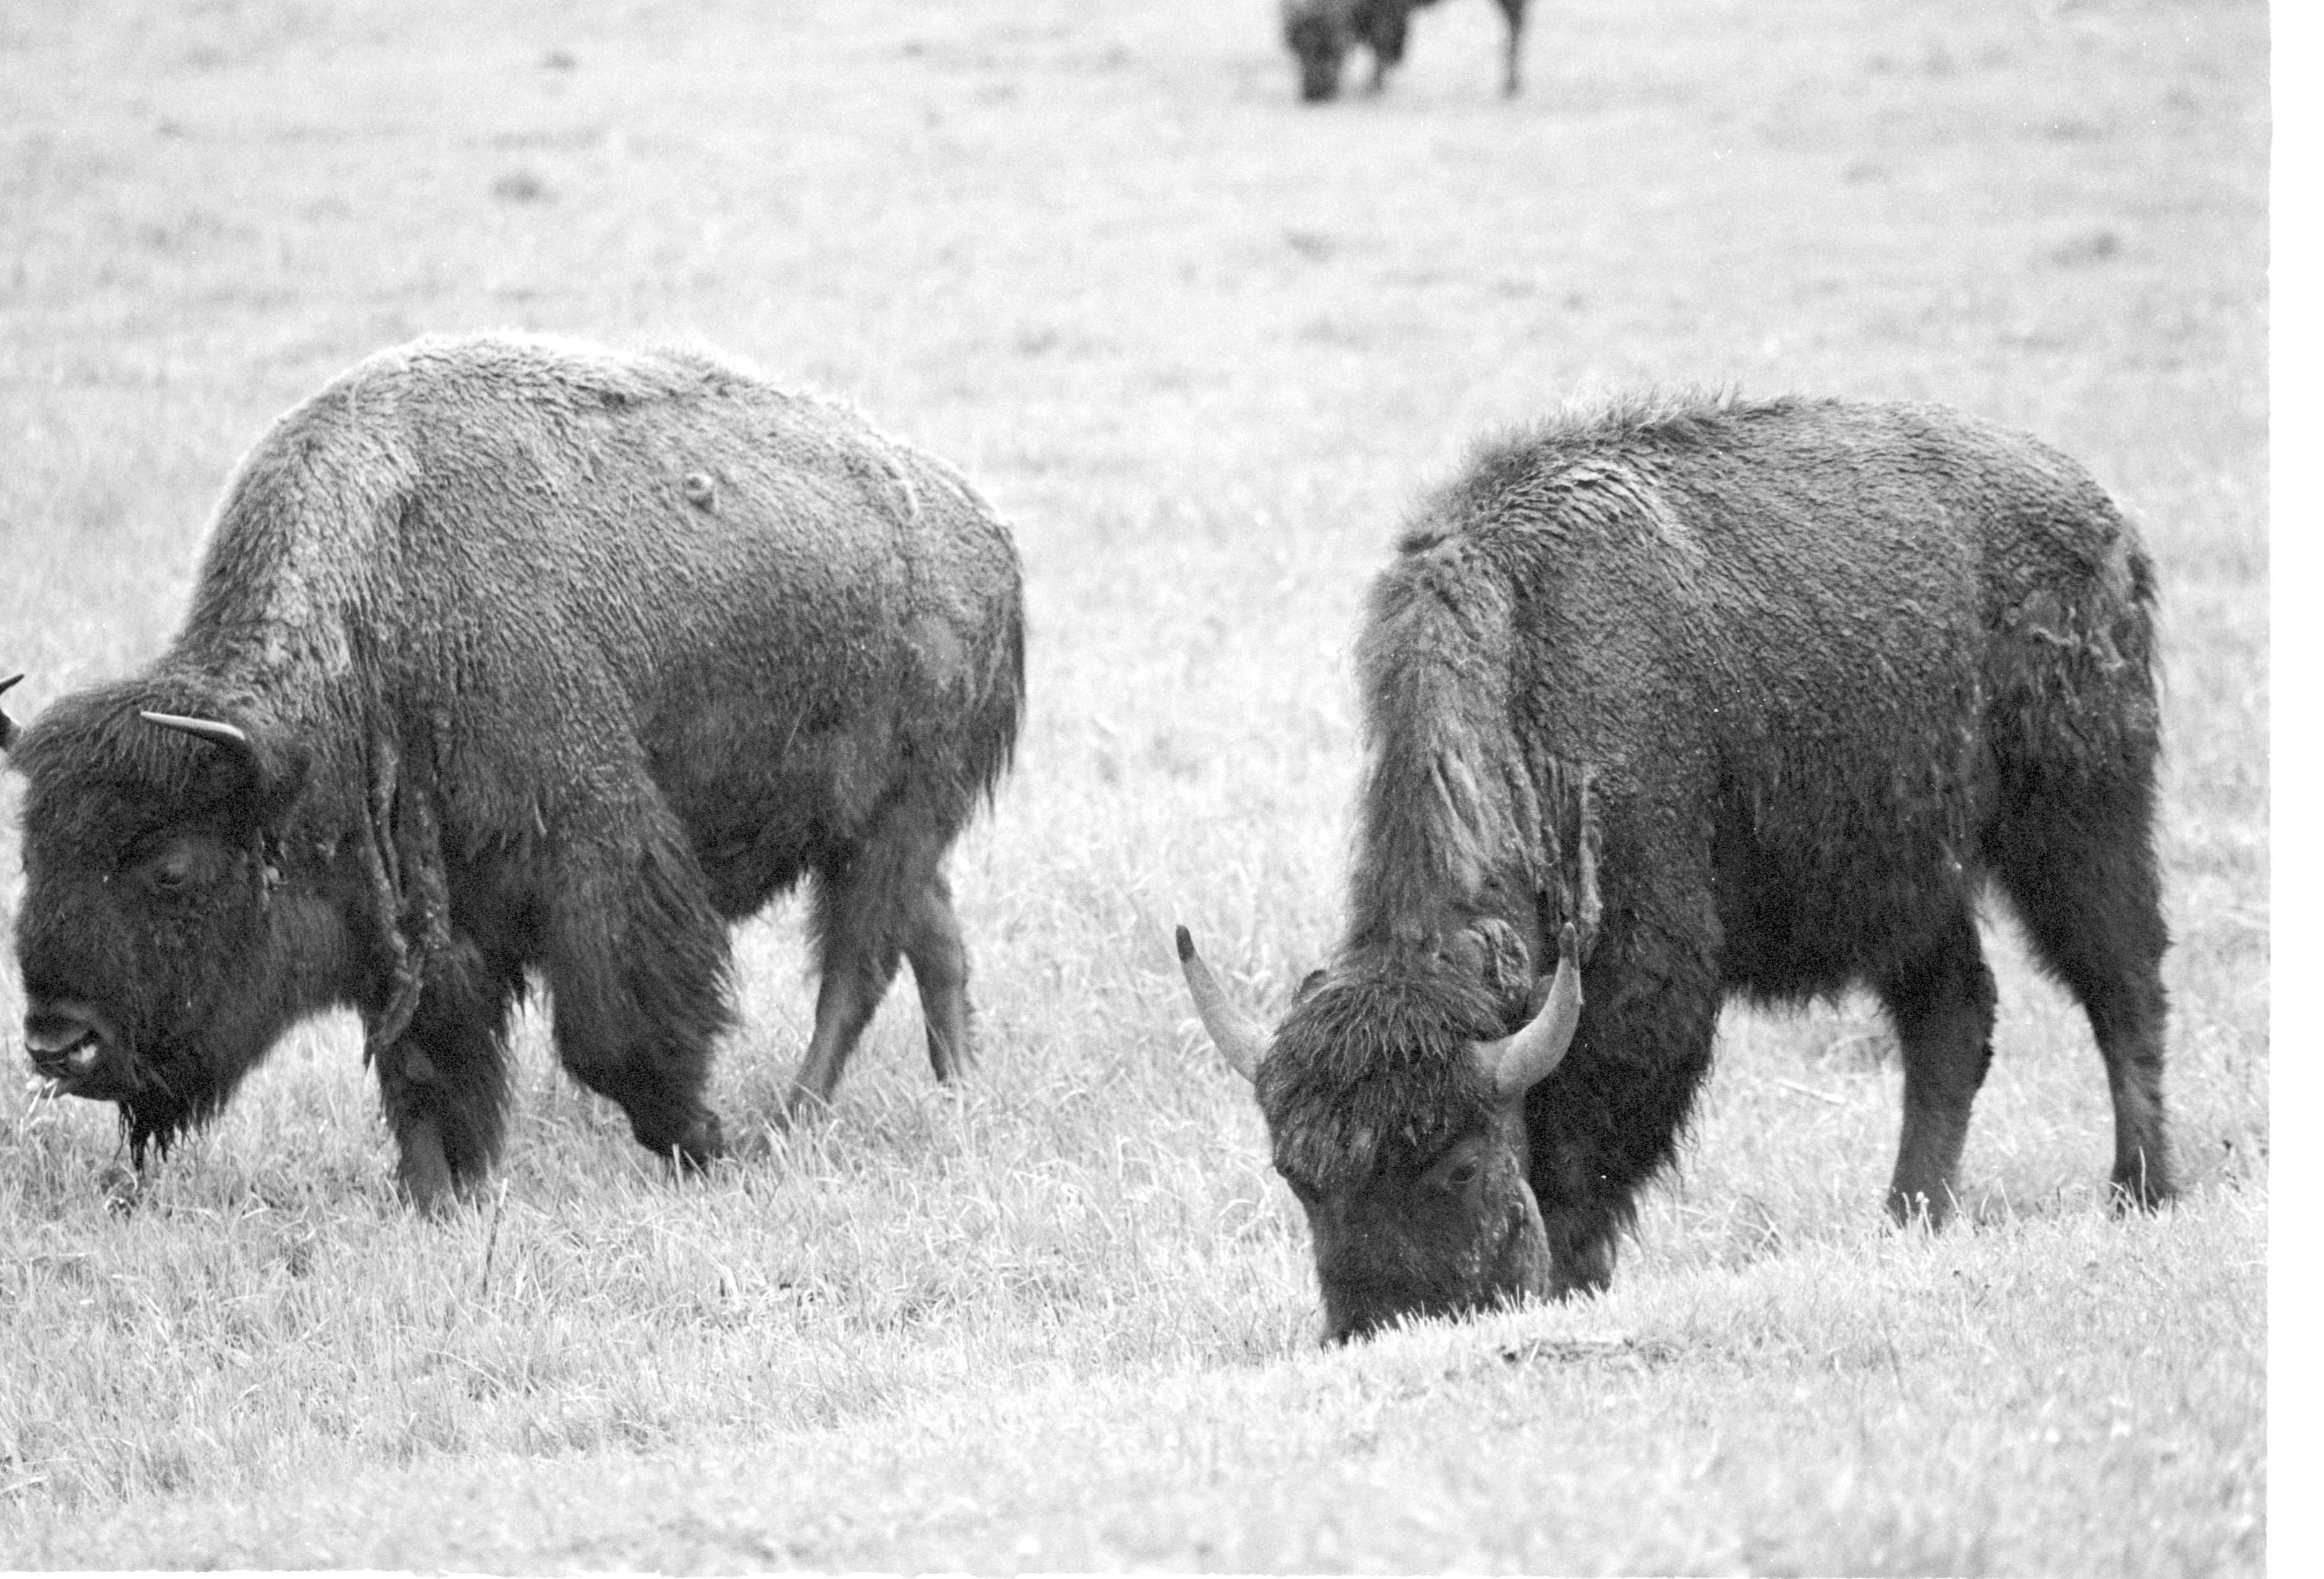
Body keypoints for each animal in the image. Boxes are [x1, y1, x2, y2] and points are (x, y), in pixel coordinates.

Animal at [4, 332, 1024, 1212]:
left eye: (171, 868)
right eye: (32, 857)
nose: (59, 1040)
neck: (379, 624)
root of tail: (984, 531)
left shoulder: (597, 860)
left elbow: (612, 1036)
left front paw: (702, 1142)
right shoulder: (425, 918)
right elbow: (423, 1069)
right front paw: (436, 1199)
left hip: (895, 819)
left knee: (855, 968)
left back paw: (790, 1122)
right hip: (881, 830)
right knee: (930, 938)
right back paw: (953, 1088)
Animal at [1179, 393, 2173, 1343]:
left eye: (1457, 1163)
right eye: (1295, 1174)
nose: (1379, 1324)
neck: (1526, 658)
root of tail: (2100, 513)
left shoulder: (1642, 980)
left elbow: (1588, 1152)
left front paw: (1572, 1280)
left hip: (2079, 819)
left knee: (2122, 985)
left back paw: (2141, 1191)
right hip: (1908, 883)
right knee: (1953, 1020)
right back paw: (1908, 1218)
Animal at [1280, 0, 1529, 102]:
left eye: (1331, 46)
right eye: (1296, 47)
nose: (1312, 95)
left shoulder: (1386, 14)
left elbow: (1382, 43)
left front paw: (1374, 85)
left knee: (1516, 30)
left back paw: (1511, 84)